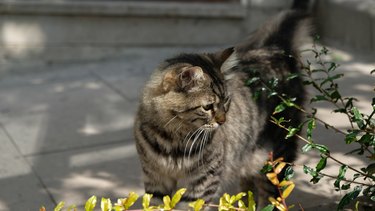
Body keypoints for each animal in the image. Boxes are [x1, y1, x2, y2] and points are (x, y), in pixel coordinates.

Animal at [134, 10, 312, 209]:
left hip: (275, 159)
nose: (222, 121)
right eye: (207, 107)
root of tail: (273, 49)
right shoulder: (155, 179)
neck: (173, 140)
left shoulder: (202, 182)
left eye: (226, 101)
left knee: (272, 197)